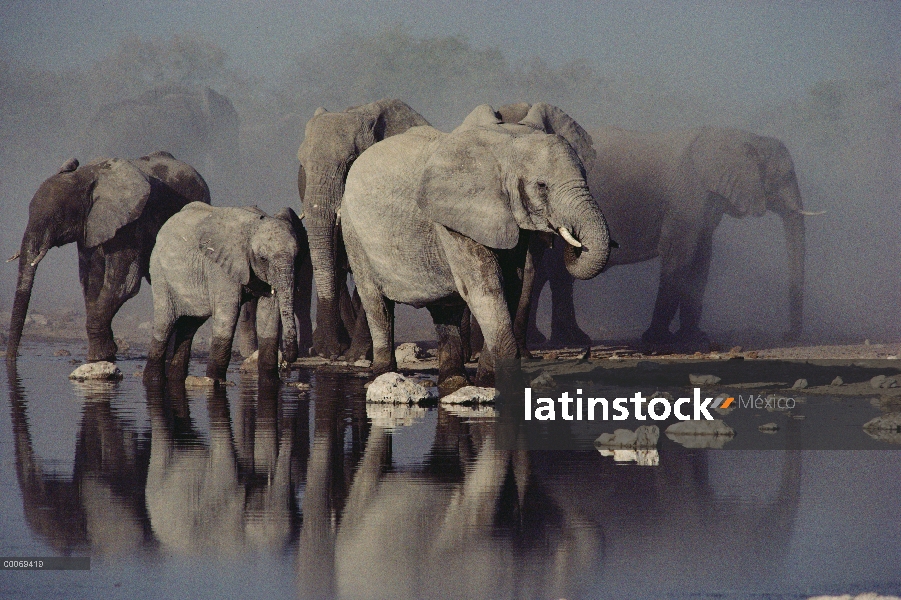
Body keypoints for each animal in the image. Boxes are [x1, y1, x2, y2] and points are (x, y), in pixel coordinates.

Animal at [6, 152, 210, 364]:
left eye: (57, 217)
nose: (11, 359)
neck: (86, 176)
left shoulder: (131, 223)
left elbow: (123, 284)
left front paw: (100, 356)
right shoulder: (89, 227)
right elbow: (91, 281)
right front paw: (104, 355)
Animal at [145, 202, 306, 380]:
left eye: (298, 256)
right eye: (263, 258)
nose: (288, 359)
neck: (252, 227)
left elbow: (269, 315)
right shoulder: (221, 268)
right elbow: (227, 316)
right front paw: (215, 380)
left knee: (189, 327)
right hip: (160, 273)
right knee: (164, 325)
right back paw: (152, 379)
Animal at [342, 105, 612, 392]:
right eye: (542, 186)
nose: (571, 239)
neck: (504, 144)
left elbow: (511, 287)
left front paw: (487, 383)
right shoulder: (454, 220)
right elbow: (486, 289)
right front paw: (504, 388)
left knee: (445, 307)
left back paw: (454, 382)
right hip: (353, 230)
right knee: (377, 304)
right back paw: (383, 377)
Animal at [524, 126, 812, 352]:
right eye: (785, 176)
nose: (788, 336)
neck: (743, 136)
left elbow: (701, 259)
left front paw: (695, 338)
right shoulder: (687, 198)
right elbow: (680, 256)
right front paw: (658, 340)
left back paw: (549, 339)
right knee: (558, 273)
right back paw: (567, 340)